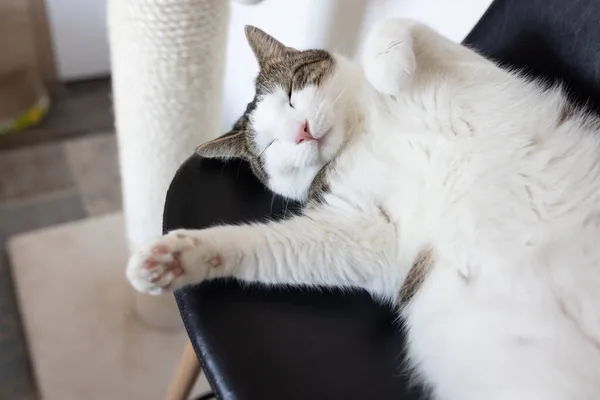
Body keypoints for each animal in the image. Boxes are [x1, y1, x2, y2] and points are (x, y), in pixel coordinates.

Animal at [125, 19, 600, 400]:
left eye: (293, 93)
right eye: (272, 146)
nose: (300, 132)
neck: (361, 135)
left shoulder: (478, 73)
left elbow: (394, 24)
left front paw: (389, 73)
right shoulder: (364, 235)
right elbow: (266, 246)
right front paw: (175, 257)